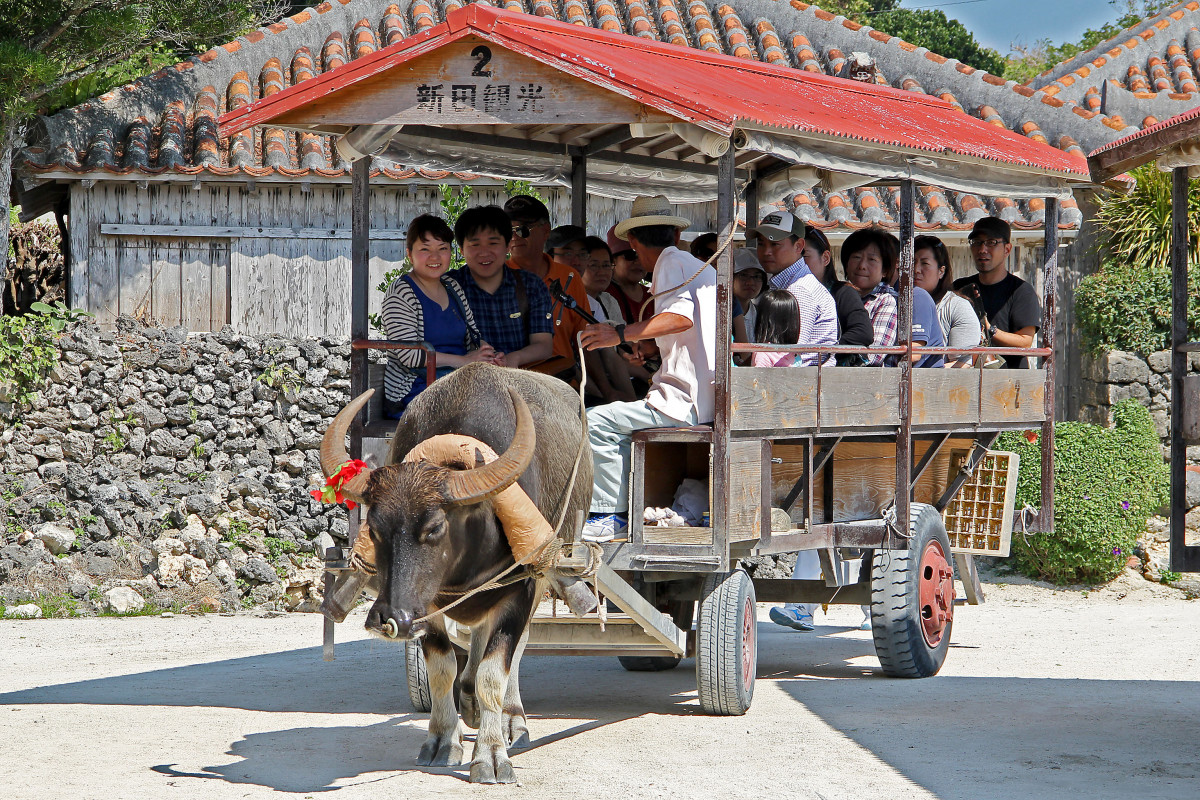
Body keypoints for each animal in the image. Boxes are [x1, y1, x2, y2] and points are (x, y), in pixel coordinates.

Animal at [316, 367, 592, 786]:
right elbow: (443, 666)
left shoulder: (521, 588)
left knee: (515, 647)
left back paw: (510, 720)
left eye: (434, 527)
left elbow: (495, 671)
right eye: (375, 528)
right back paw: (471, 703)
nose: (388, 618)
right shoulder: (426, 606)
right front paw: (444, 740)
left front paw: (491, 755)